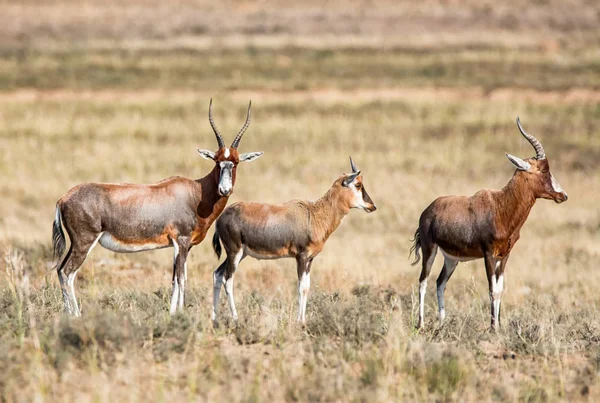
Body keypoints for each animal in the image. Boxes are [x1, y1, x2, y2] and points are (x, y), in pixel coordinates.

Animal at [52, 99, 264, 318]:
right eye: (217, 161)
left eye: (235, 162)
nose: (224, 189)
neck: (196, 192)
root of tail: (63, 199)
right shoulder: (182, 241)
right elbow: (181, 279)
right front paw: (179, 314)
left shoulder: (180, 246)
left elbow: (175, 280)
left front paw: (172, 314)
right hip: (84, 242)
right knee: (67, 273)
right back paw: (76, 316)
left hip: (75, 244)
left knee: (59, 270)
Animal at [211, 158, 376, 326]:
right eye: (358, 184)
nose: (372, 206)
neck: (312, 213)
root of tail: (221, 217)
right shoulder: (301, 257)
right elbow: (301, 287)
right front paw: (299, 321)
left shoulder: (310, 259)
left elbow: (307, 287)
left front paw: (303, 320)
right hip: (235, 253)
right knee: (228, 280)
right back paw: (235, 318)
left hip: (239, 254)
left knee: (217, 274)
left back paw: (214, 318)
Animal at [410, 117, 568, 332]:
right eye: (544, 169)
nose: (563, 195)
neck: (500, 206)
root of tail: (428, 210)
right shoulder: (488, 255)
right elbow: (492, 289)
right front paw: (493, 328)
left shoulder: (504, 256)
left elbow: (500, 290)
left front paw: (499, 326)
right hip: (430, 249)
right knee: (423, 281)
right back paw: (421, 323)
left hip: (451, 258)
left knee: (440, 282)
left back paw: (442, 322)